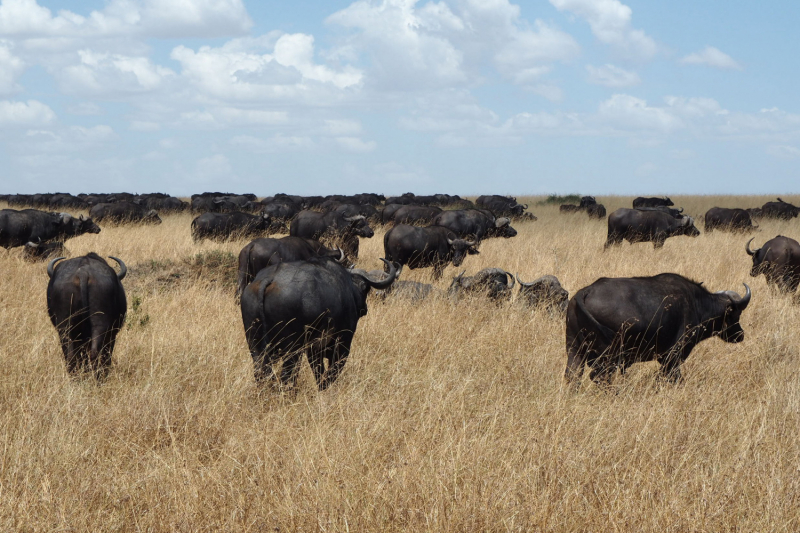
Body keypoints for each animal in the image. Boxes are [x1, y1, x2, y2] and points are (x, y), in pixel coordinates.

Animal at [239, 256, 398, 388]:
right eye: (366, 288)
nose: (364, 308)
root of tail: (270, 279)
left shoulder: (314, 350)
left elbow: (318, 372)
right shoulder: (342, 344)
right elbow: (332, 372)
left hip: (255, 345)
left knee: (262, 372)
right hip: (292, 349)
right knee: (286, 374)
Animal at [564, 272, 752, 384]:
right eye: (736, 314)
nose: (740, 335)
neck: (697, 304)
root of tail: (585, 292)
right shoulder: (673, 357)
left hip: (574, 349)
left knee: (572, 376)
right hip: (607, 357)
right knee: (600, 377)